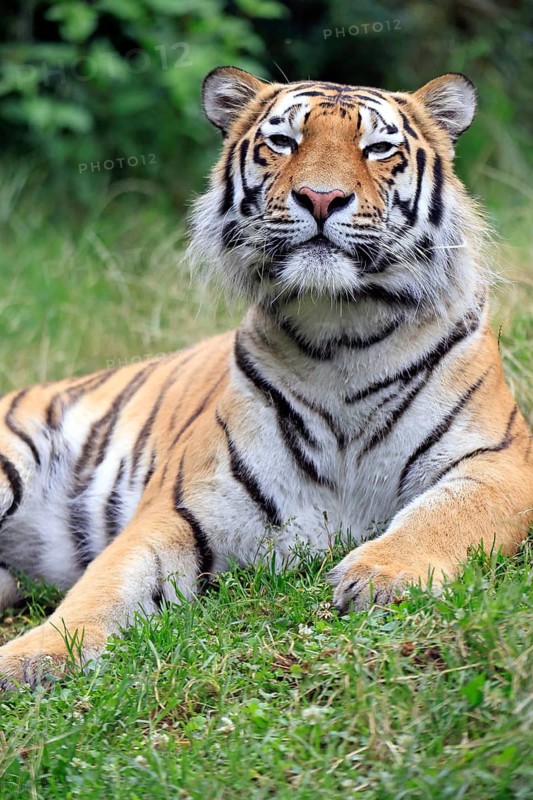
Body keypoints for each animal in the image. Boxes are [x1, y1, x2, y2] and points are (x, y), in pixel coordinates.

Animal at [0, 67, 532, 690]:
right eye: (283, 142)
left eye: (378, 148)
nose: (322, 197)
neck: (342, 332)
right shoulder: (182, 509)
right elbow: (106, 585)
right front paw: (32, 657)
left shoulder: (502, 462)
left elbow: (445, 516)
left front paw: (379, 577)